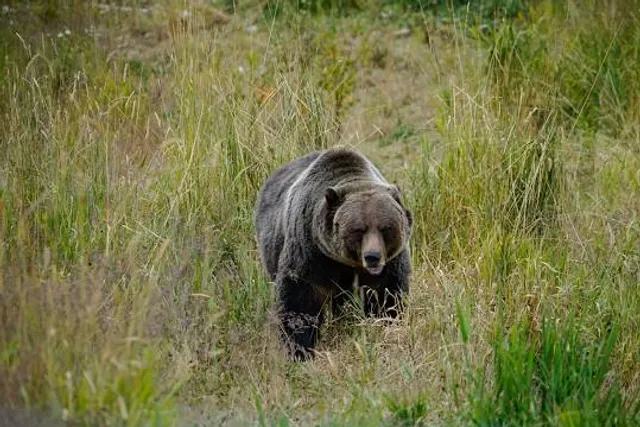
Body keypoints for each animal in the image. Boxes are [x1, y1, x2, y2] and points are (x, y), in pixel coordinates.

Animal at [255, 148, 412, 361]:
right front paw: (300, 349)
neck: (348, 263)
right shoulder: (311, 255)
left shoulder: (389, 265)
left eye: (386, 228)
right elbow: (300, 301)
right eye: (358, 230)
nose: (373, 257)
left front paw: (386, 325)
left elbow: (387, 297)